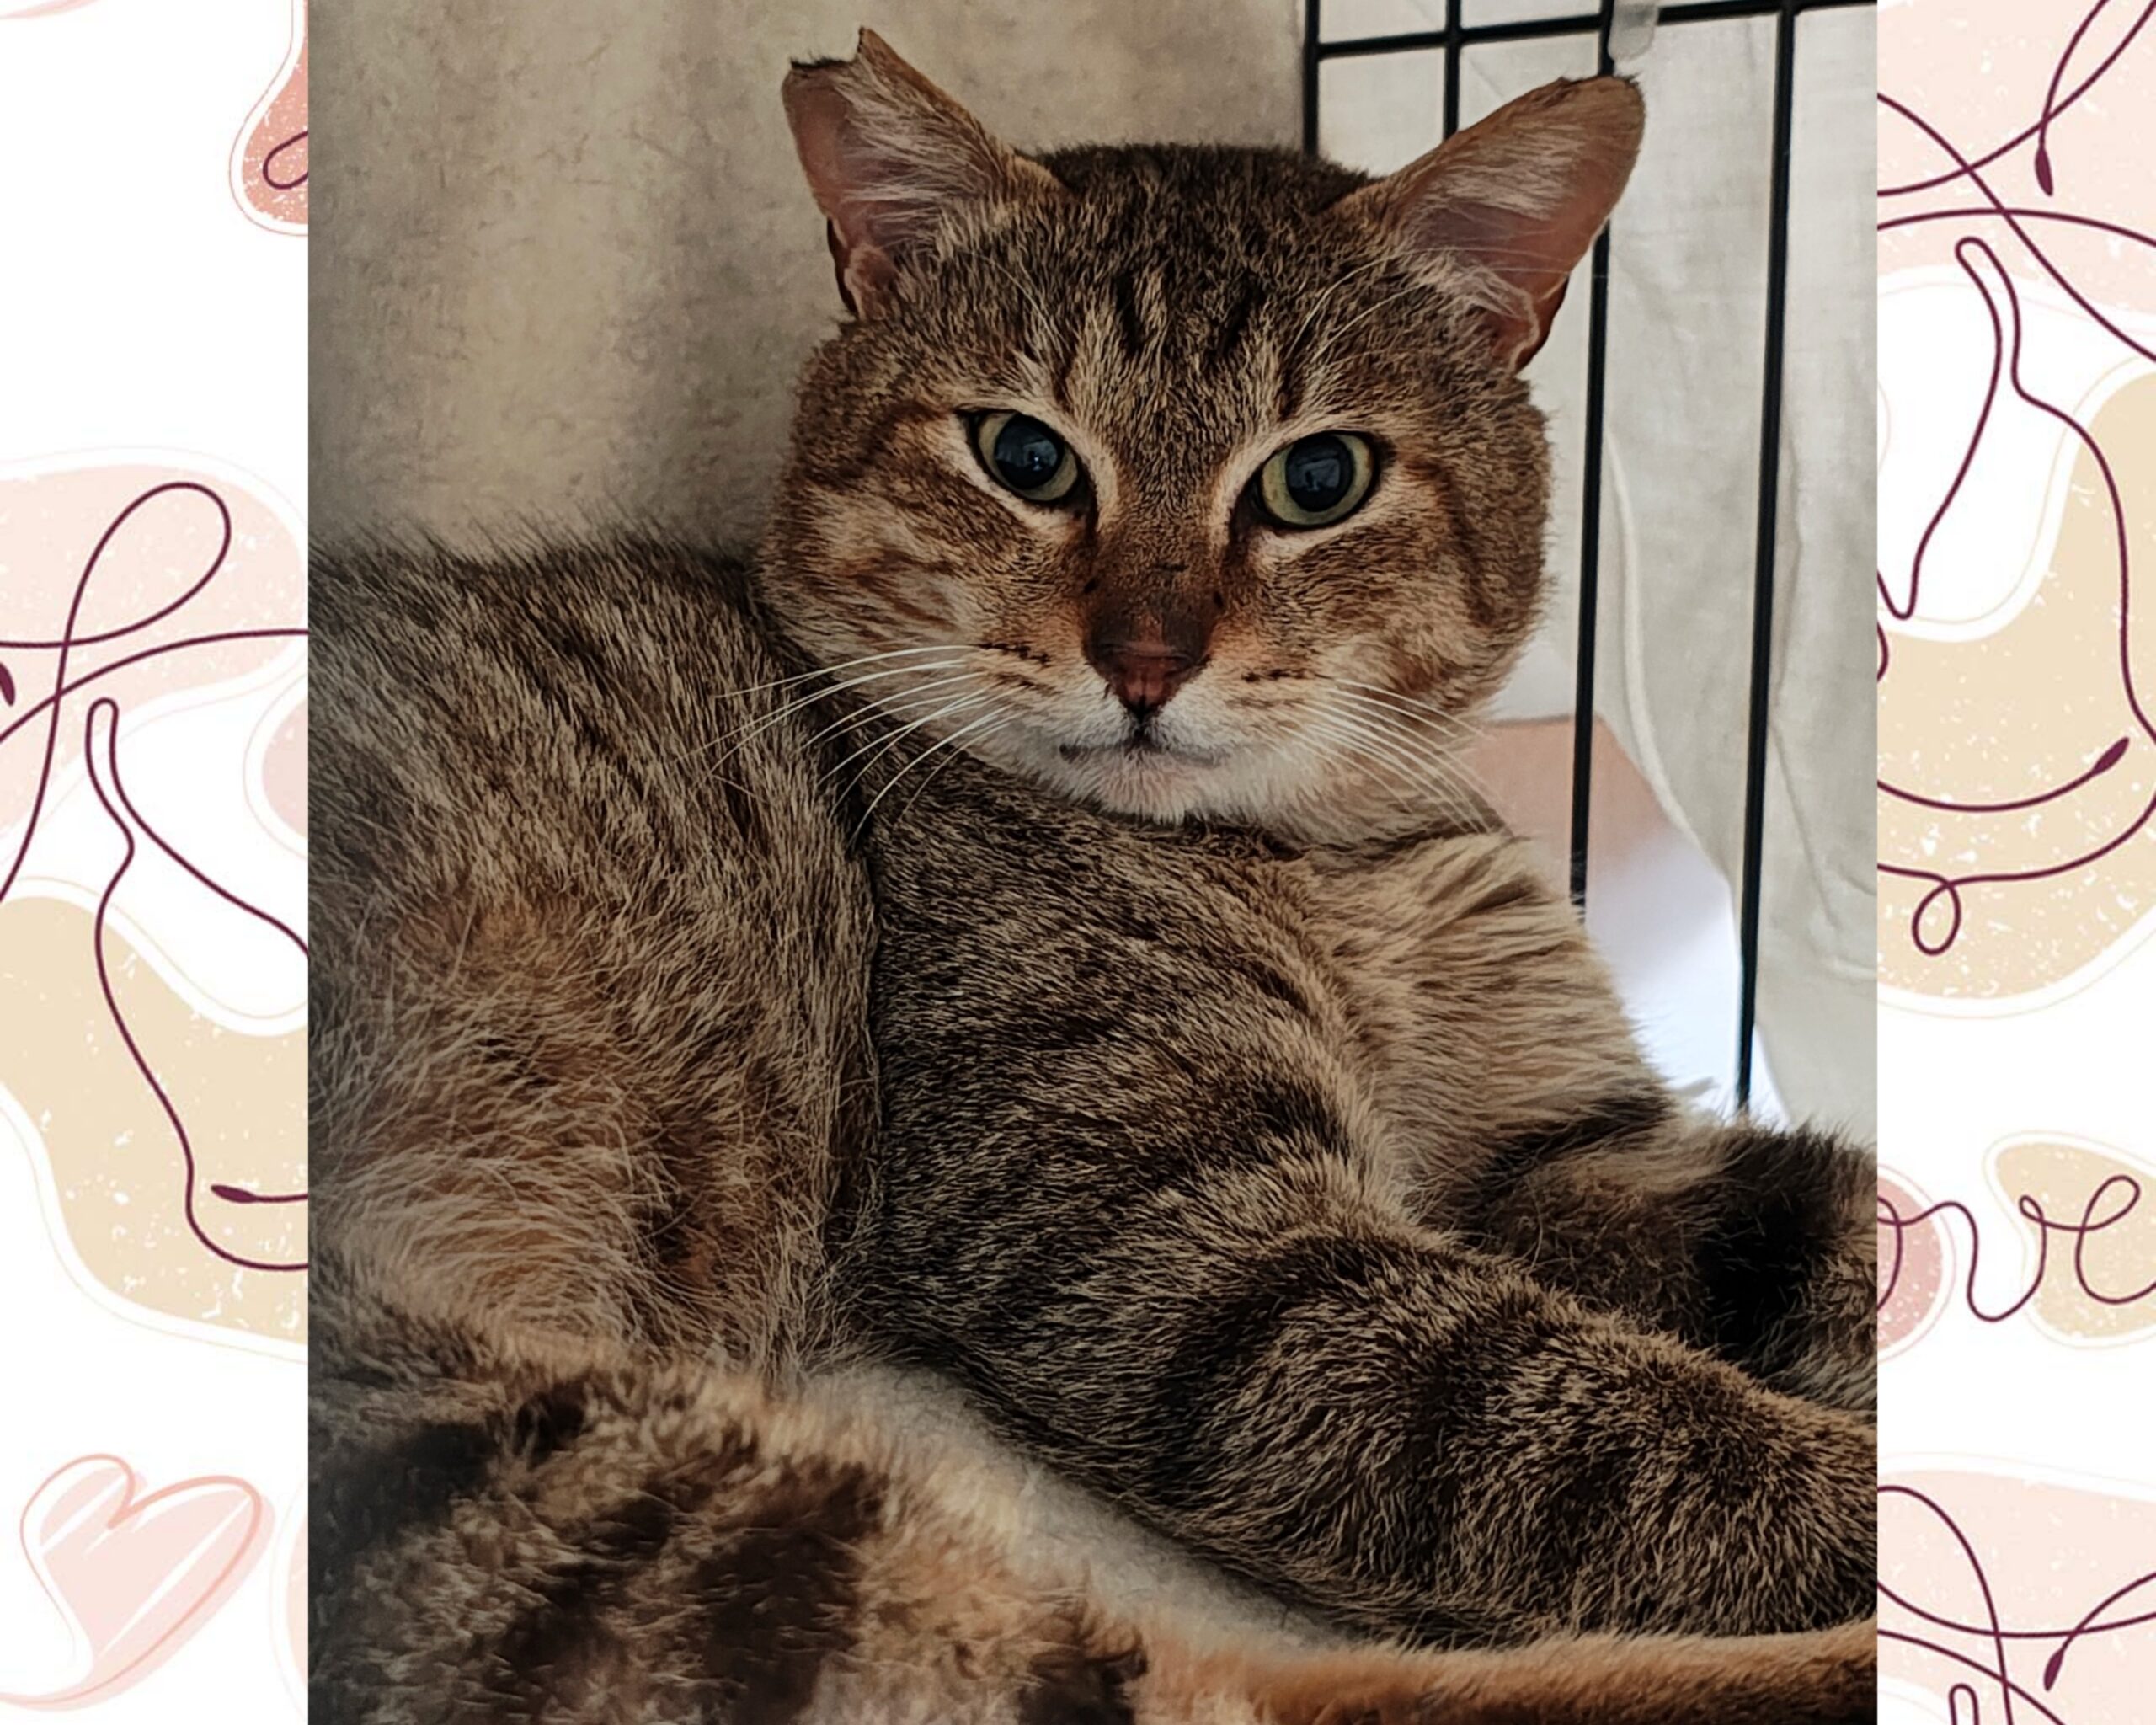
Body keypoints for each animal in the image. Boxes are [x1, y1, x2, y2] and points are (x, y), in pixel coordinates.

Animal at [311, 29, 1877, 1724]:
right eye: (1025, 457)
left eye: (1319, 478)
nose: (1144, 660)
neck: (1340, 860)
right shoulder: (1205, 1259)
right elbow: (1660, 1445)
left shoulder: (1569, 1149)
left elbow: (1854, 1224)